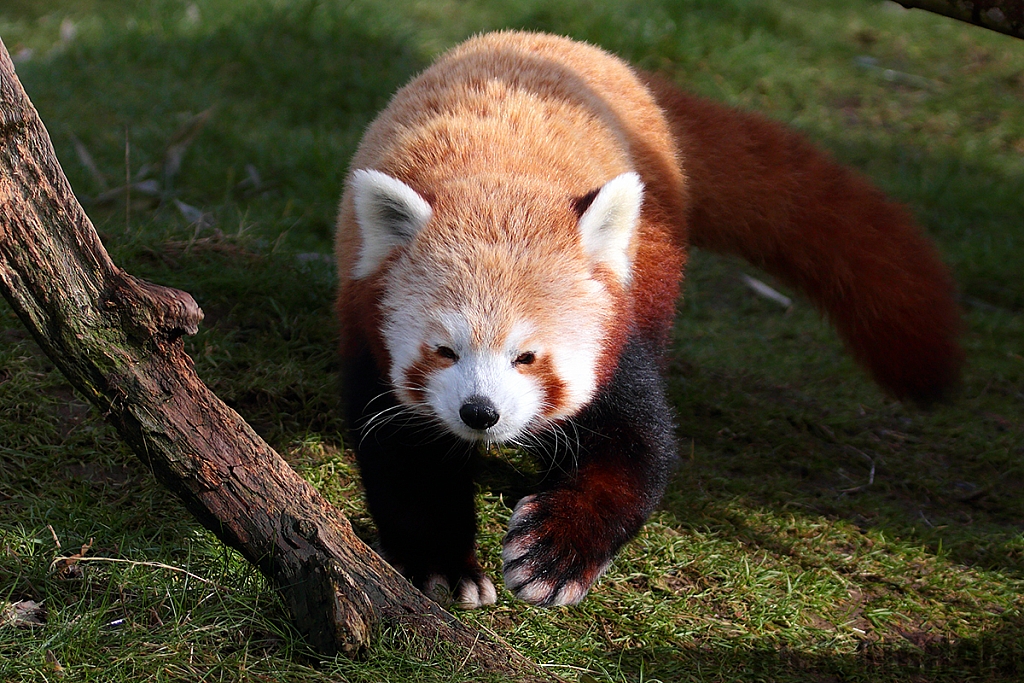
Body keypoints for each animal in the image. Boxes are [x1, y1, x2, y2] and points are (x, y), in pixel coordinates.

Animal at [331, 30, 962, 610]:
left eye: (527, 356)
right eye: (446, 350)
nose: (479, 413)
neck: (496, 181)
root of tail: (577, 46)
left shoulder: (615, 329)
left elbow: (639, 450)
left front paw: (553, 555)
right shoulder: (369, 326)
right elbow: (405, 457)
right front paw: (445, 566)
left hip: (654, 246)